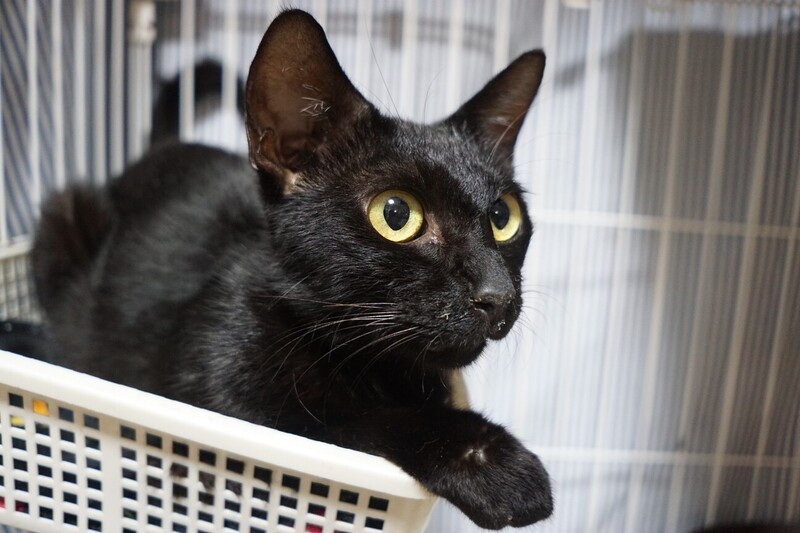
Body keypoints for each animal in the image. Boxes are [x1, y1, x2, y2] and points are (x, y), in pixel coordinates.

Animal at [31, 9, 552, 529]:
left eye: (503, 217)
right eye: (396, 214)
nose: (498, 294)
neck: (369, 365)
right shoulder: (228, 397)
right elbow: (346, 420)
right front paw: (491, 463)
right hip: (65, 215)